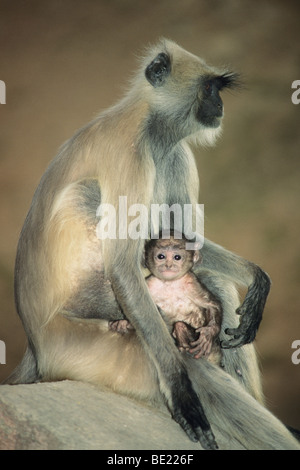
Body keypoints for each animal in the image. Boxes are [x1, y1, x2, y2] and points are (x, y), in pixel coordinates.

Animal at [110, 235, 223, 368]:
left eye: (177, 257)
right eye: (161, 256)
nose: (168, 265)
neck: (170, 284)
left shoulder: (192, 282)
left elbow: (212, 304)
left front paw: (208, 334)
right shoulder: (150, 284)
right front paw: (123, 322)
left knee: (180, 325)